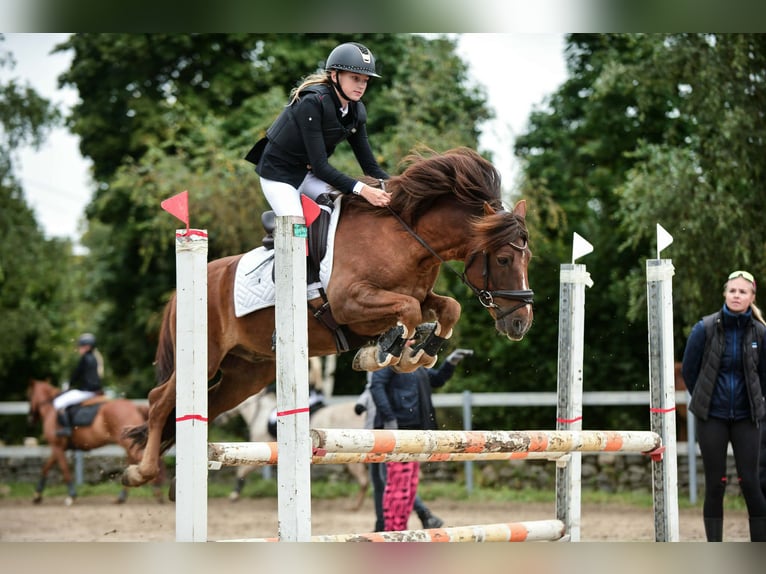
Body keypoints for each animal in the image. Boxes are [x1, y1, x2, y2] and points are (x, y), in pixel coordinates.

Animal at [26, 379, 164, 505]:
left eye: (29, 395)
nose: (30, 419)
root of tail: (134, 406)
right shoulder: (59, 448)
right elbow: (45, 468)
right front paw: (37, 496)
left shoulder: (57, 446)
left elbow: (64, 470)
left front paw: (71, 496)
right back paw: (123, 496)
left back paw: (156, 492)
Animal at [121, 146, 534, 489]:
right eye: (503, 259)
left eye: (527, 258)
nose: (521, 322)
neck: (405, 240)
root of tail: (182, 291)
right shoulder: (350, 303)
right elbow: (408, 310)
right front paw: (385, 352)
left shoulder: (418, 294)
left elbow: (446, 307)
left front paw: (420, 350)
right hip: (204, 357)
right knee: (160, 400)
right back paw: (140, 471)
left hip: (246, 373)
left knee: (206, 405)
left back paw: (175, 477)